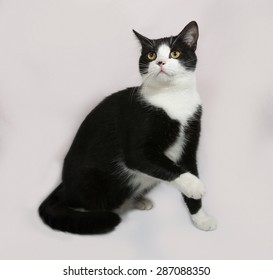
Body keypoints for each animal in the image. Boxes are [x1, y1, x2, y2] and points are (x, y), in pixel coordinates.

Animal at [38, 20, 217, 234]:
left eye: (175, 53)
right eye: (151, 55)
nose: (160, 62)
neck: (172, 98)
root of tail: (63, 186)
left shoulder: (189, 143)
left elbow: (188, 167)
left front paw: (201, 218)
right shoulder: (137, 142)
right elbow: (165, 165)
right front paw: (195, 186)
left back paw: (138, 201)